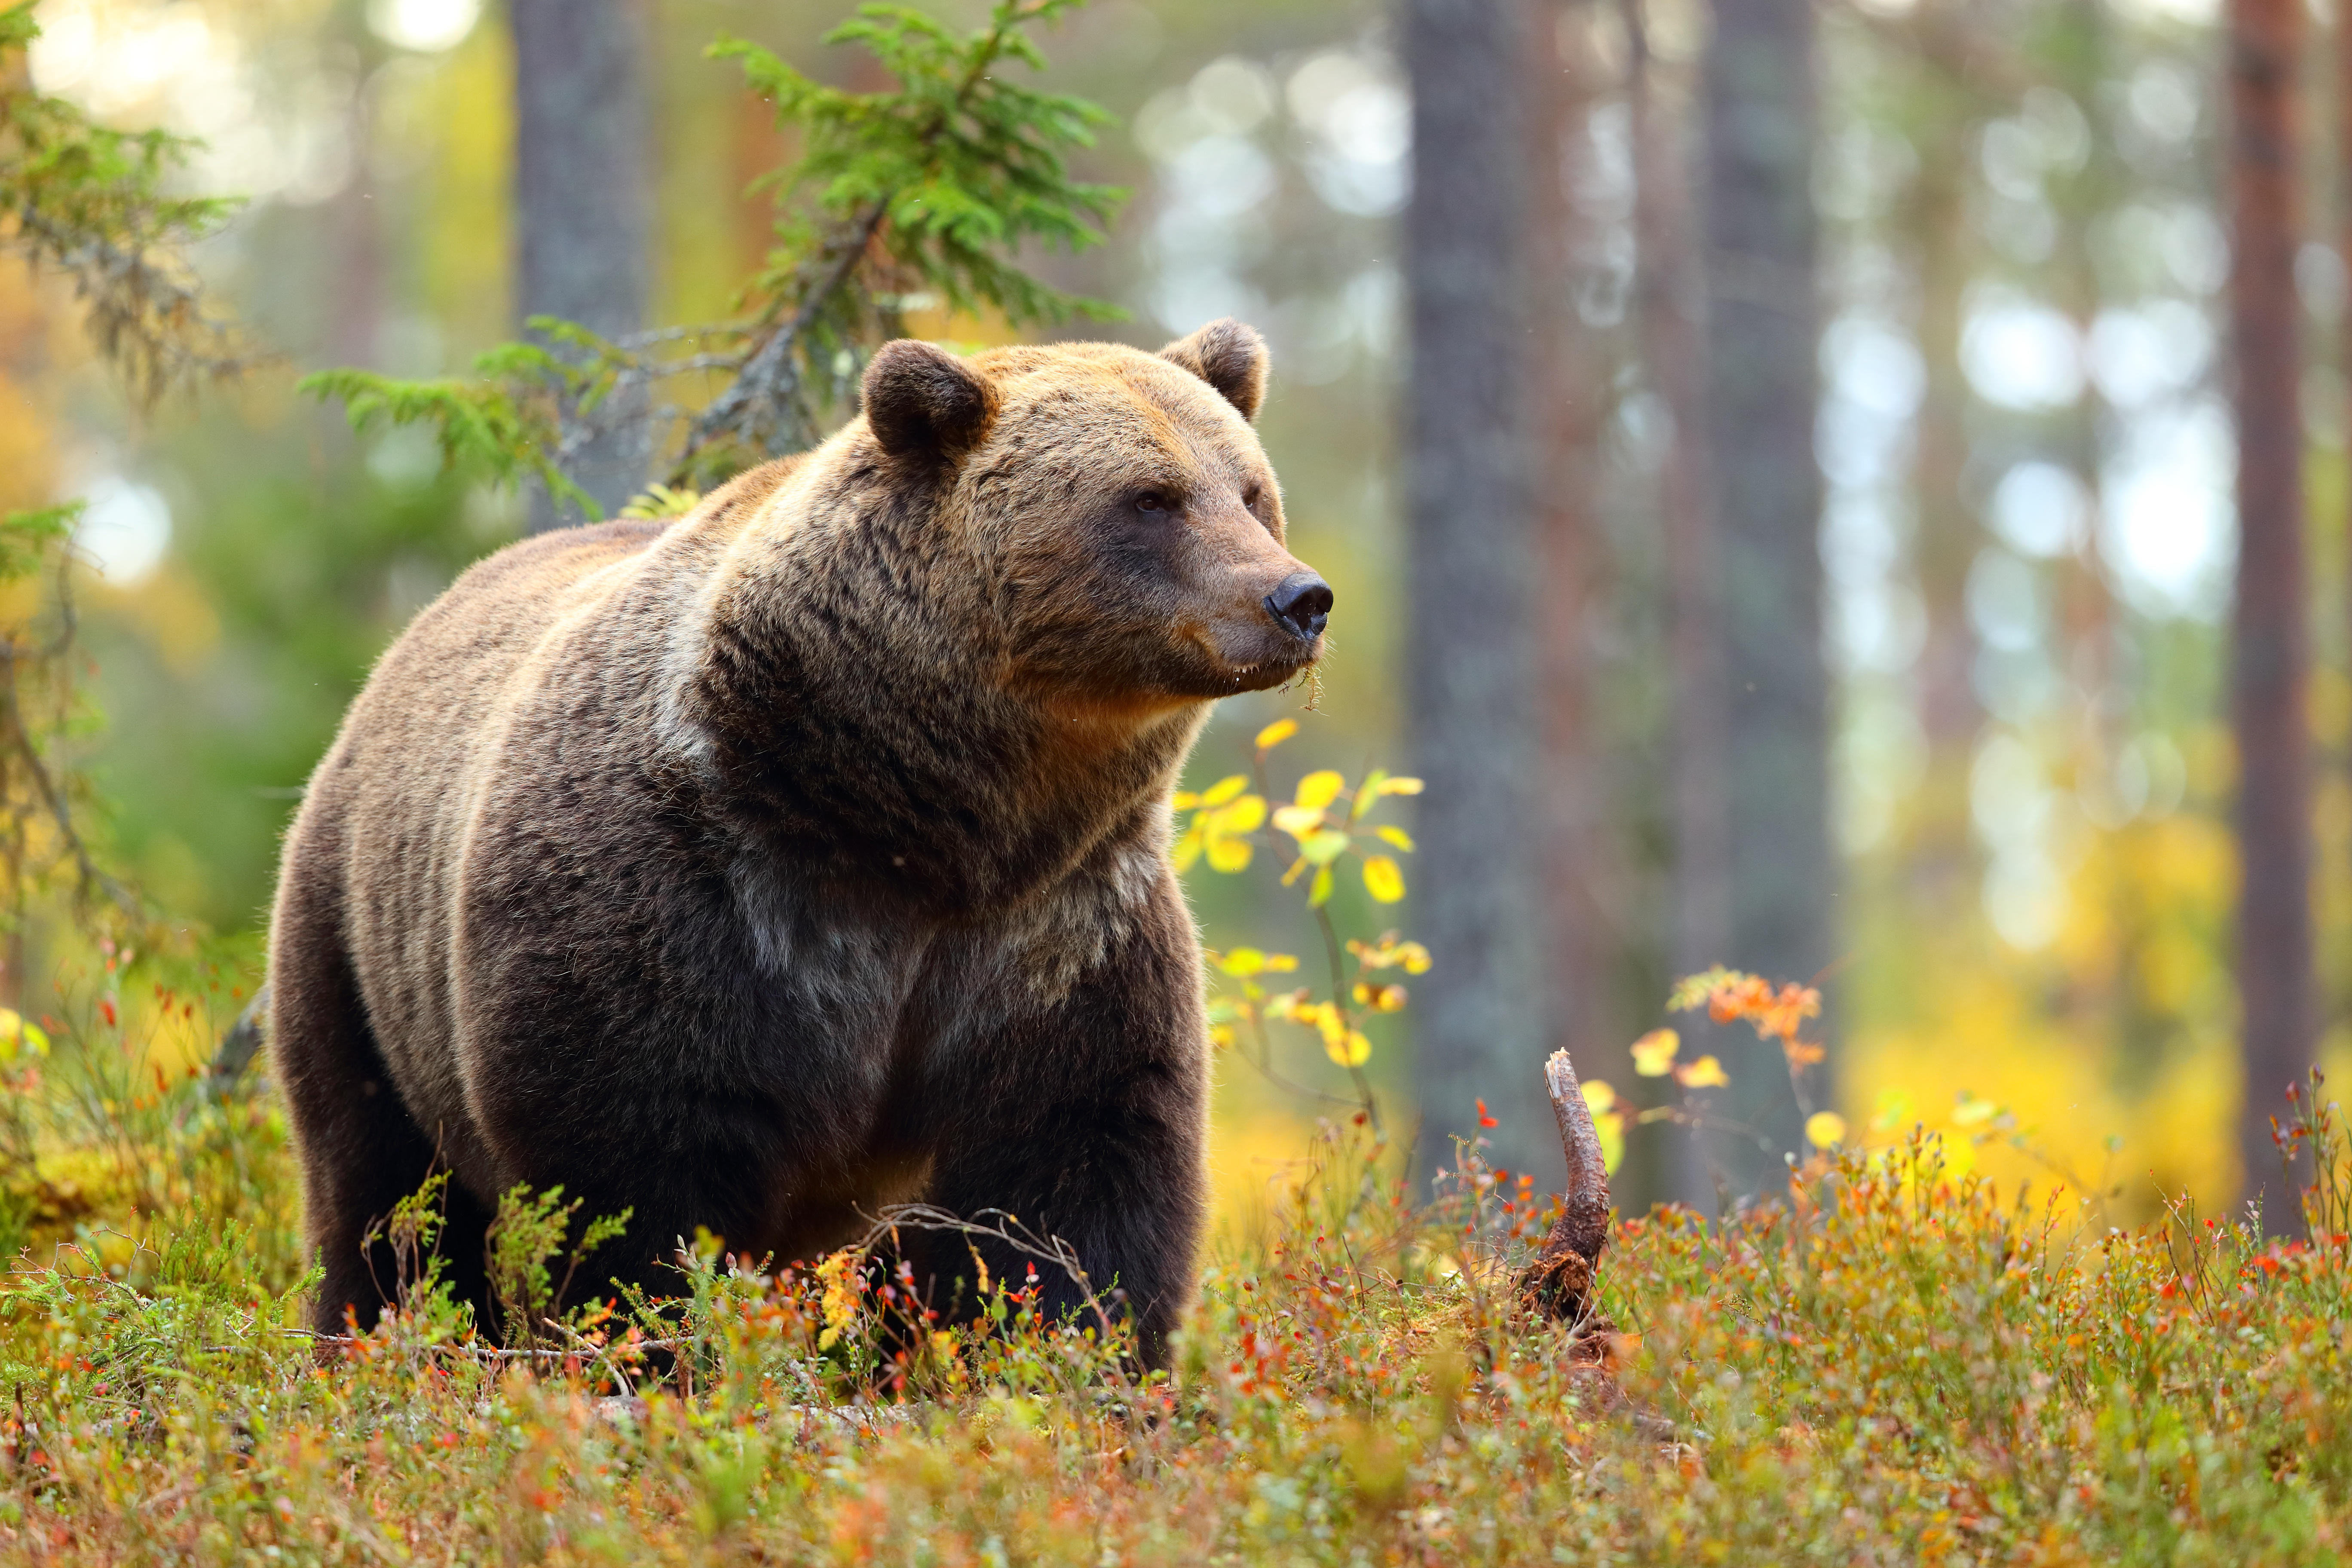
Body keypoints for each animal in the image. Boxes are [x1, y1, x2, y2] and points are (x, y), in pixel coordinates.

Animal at [266, 320, 1331, 1366]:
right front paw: (654, 1349)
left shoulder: (1058, 928)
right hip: (358, 944)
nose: (1297, 598)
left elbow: (1075, 1171)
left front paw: (1062, 1354)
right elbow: (634, 1172)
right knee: (384, 1193)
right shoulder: (697, 893)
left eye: (1249, 490)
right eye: (1150, 497)